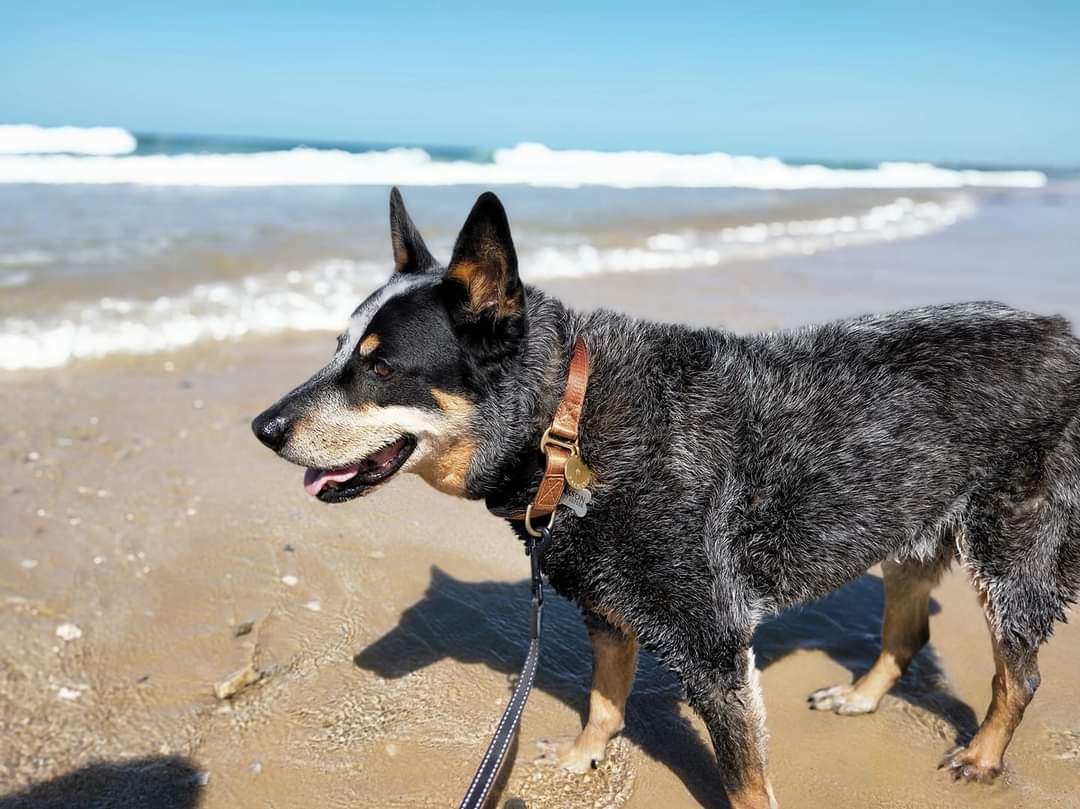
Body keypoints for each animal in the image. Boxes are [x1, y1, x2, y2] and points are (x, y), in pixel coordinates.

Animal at [252, 189, 1080, 807]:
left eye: (381, 367)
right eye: (335, 349)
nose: (263, 426)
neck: (567, 425)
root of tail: (1066, 335)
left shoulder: (712, 642)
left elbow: (744, 780)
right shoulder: (606, 603)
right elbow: (604, 696)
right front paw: (584, 756)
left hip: (1012, 552)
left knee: (1019, 671)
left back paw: (982, 755)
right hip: (907, 521)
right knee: (907, 632)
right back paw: (863, 696)